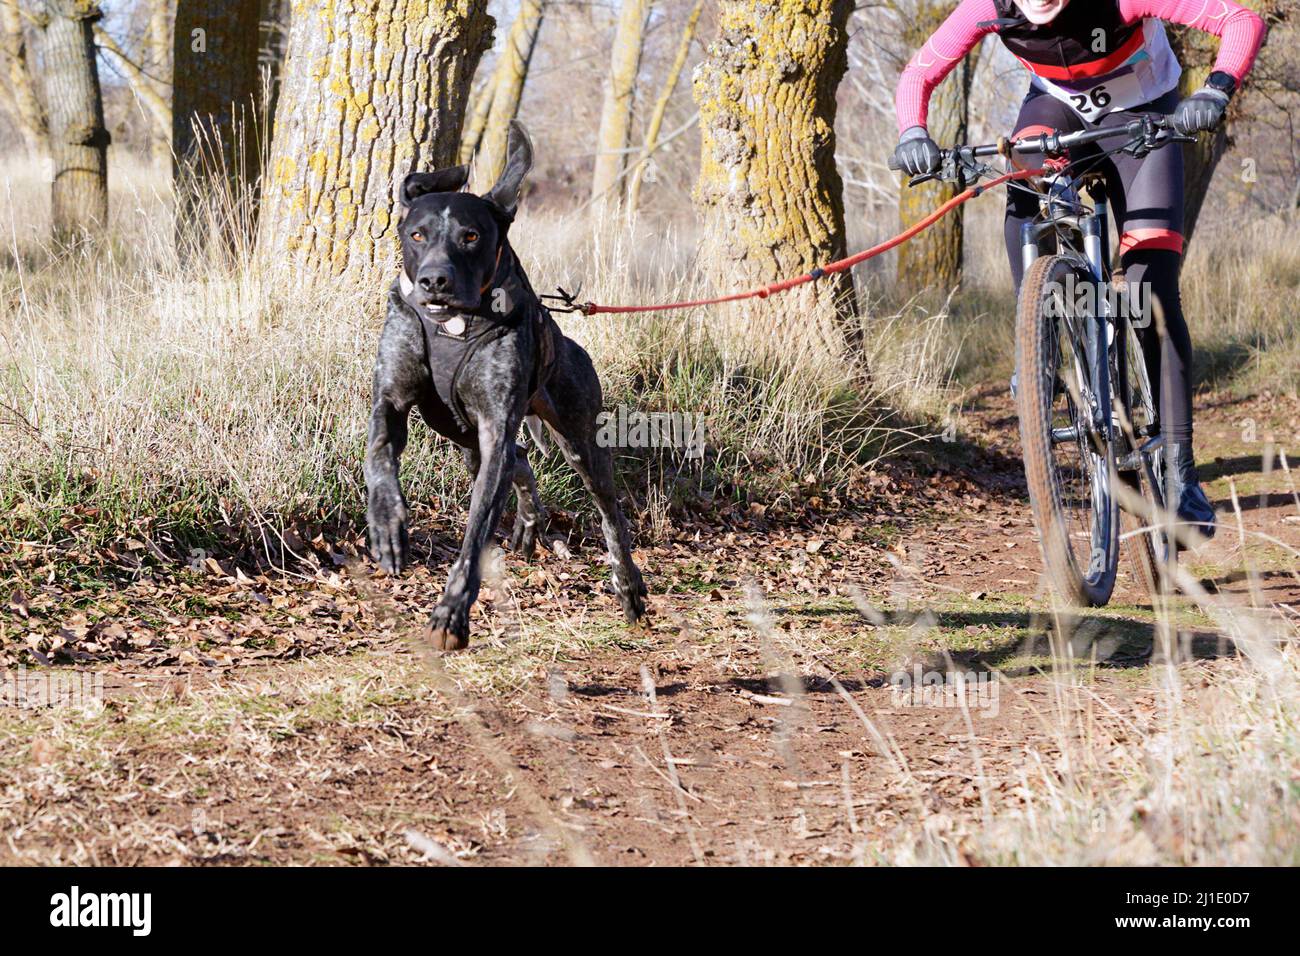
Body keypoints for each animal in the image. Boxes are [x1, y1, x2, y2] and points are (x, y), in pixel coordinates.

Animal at [364, 119, 647, 650]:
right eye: (417, 234)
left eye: (471, 236)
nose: (434, 281)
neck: (454, 327)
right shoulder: (391, 399)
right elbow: (378, 458)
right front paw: (387, 525)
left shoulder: (496, 426)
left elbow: (476, 532)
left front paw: (452, 613)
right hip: (465, 437)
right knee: (521, 462)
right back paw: (530, 523)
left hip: (576, 439)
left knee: (609, 512)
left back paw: (629, 584)